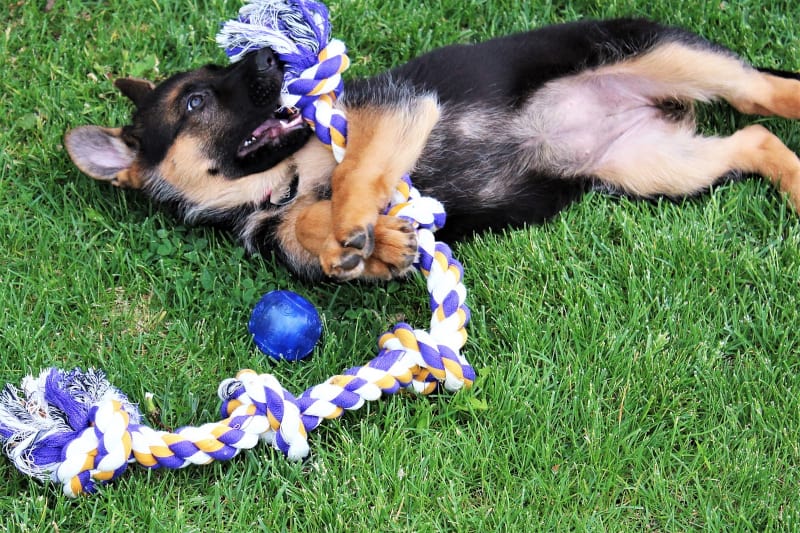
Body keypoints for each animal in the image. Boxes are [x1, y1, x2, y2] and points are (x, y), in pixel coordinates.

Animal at [65, 18, 800, 280]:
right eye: (193, 102)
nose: (272, 57)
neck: (280, 180)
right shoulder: (281, 223)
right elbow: (308, 233)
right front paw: (367, 246)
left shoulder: (395, 110)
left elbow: (355, 174)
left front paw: (357, 225)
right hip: (652, 165)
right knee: (754, 137)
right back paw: (793, 181)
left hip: (661, 55)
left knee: (762, 95)